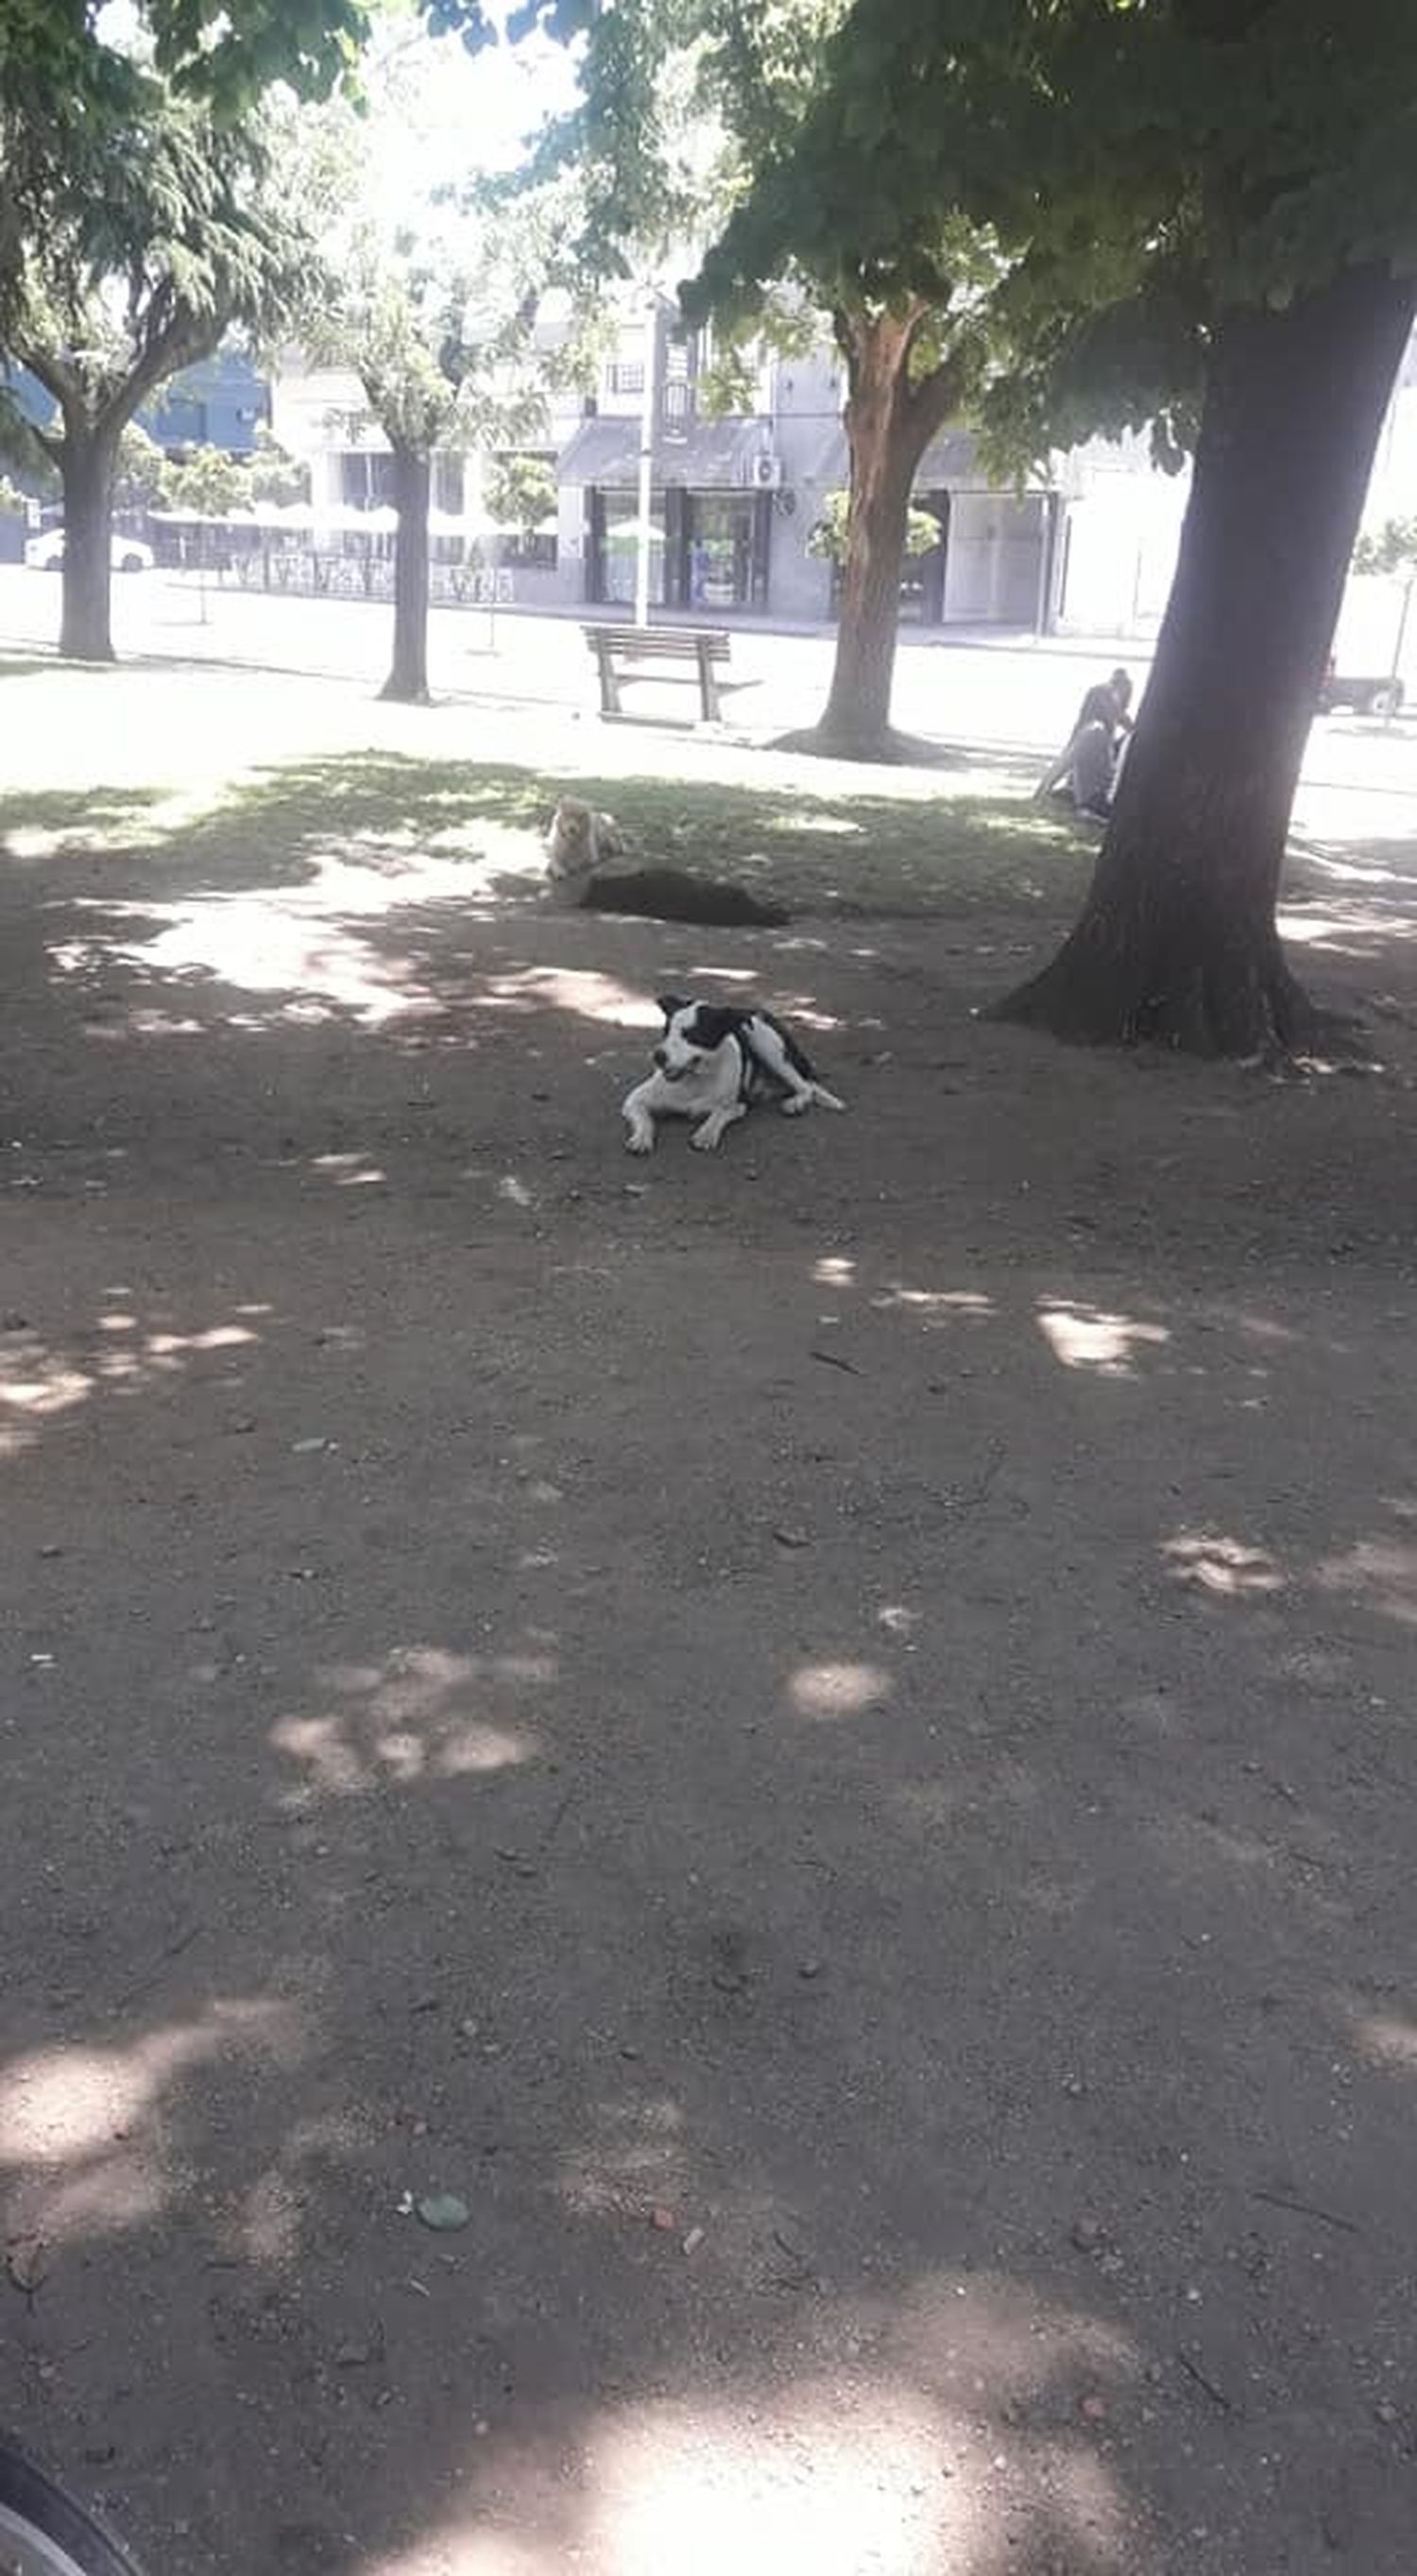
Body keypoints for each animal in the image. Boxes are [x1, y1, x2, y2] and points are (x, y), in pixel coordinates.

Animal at [623, 989, 845, 1153]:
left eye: (692, 1035)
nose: (657, 1056)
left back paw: (796, 1102)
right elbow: (644, 1118)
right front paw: (641, 1137)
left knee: (806, 1086)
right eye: (666, 1031)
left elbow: (720, 1112)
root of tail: (753, 1011)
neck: (696, 1080)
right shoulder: (633, 1100)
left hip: (766, 1042)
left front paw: (707, 1133)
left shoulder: (739, 1105)